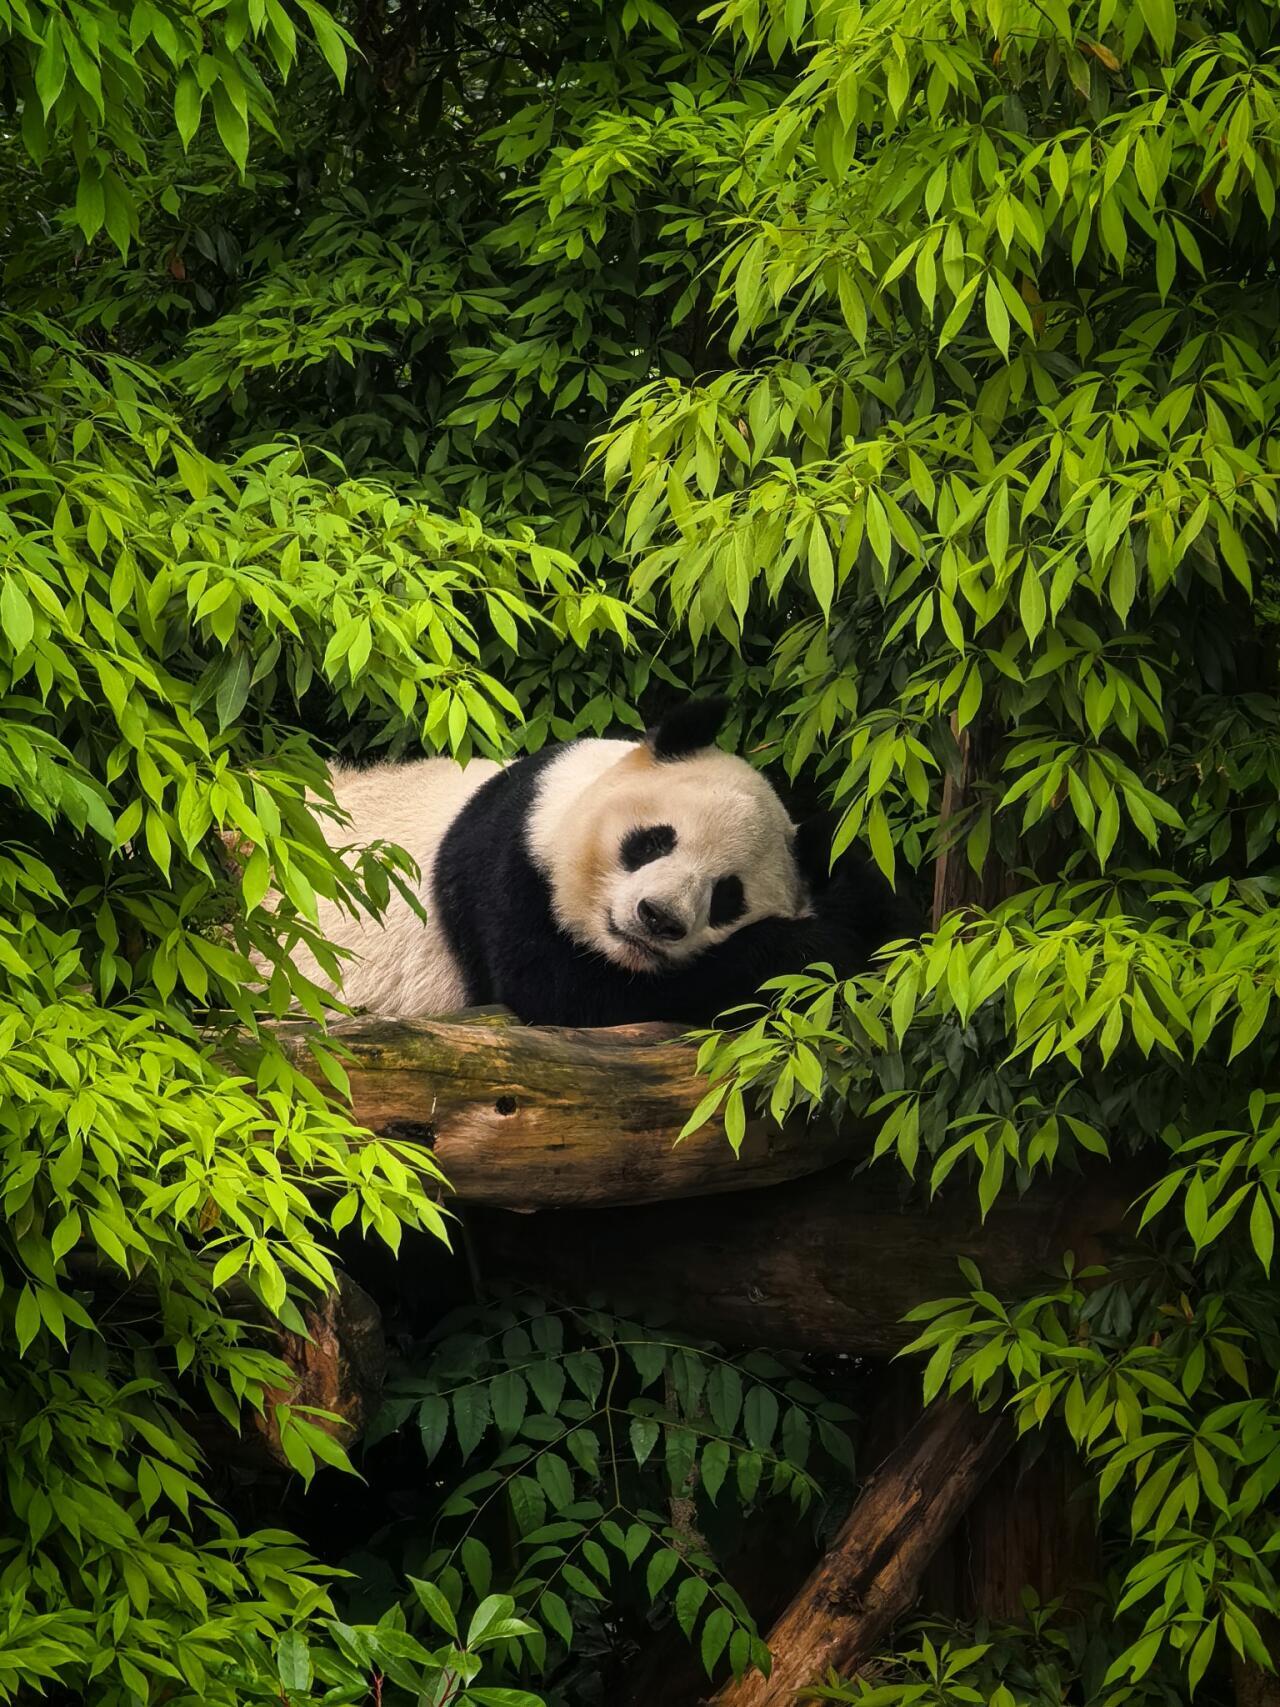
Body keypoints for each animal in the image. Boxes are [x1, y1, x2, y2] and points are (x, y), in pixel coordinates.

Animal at [287, 697, 914, 1028]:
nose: (658, 918)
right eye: (654, 842)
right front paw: (814, 944)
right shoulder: (507, 864)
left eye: (727, 896)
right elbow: (571, 994)